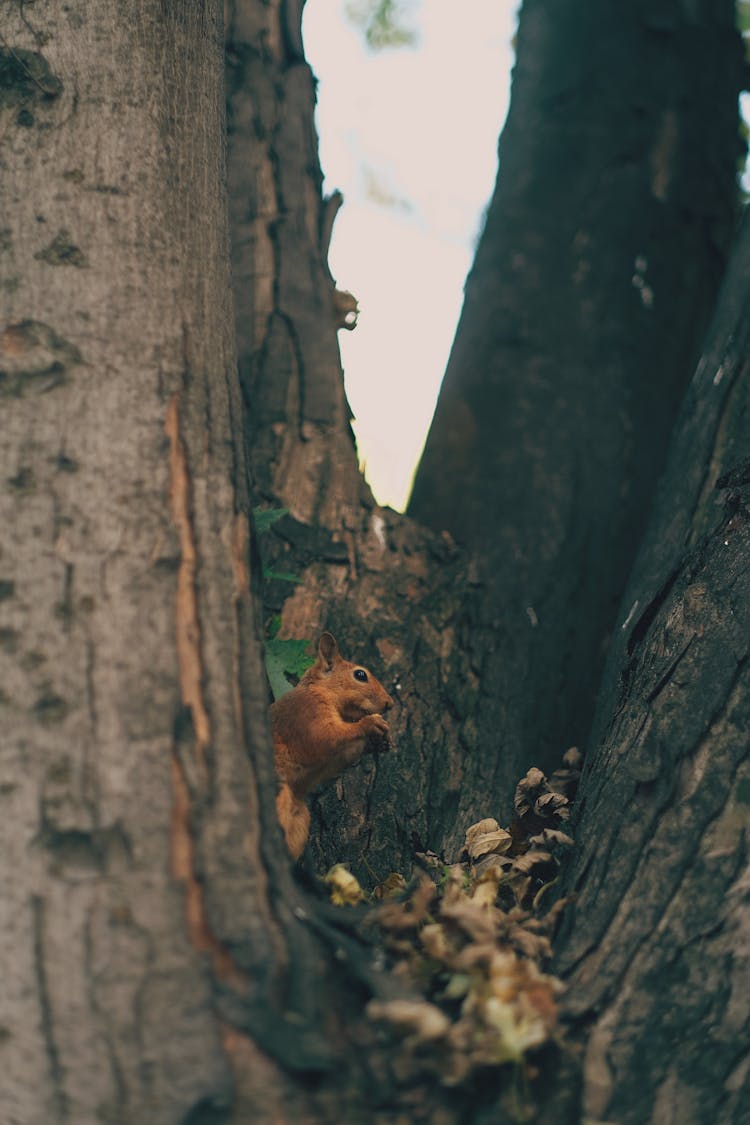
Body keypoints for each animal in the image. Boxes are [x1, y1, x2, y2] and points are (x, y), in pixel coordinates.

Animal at [273, 634, 395, 859]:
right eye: (360, 675)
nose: (390, 703)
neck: (319, 690)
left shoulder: (327, 761)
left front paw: (378, 743)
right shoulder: (306, 715)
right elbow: (325, 738)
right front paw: (369, 723)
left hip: (301, 819)